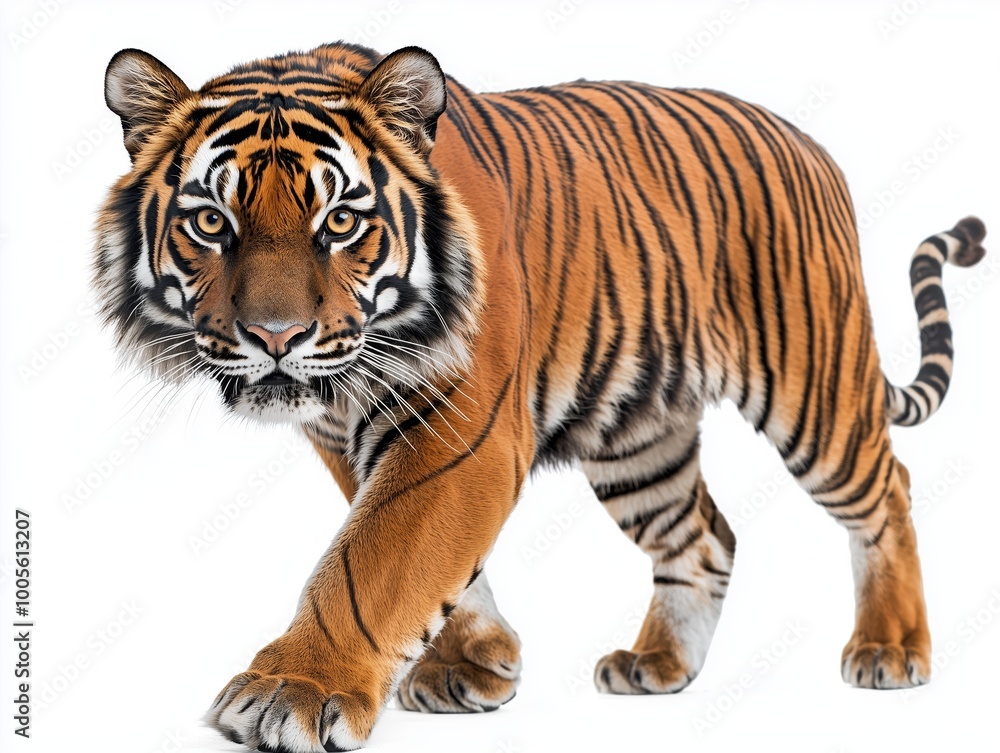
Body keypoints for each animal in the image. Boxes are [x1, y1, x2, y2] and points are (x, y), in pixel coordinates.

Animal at [93, 42, 986, 752]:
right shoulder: (349, 436)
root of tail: (809, 142)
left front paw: (294, 690)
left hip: (813, 389)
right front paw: (476, 659)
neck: (344, 387)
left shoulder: (462, 427)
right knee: (705, 536)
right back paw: (659, 663)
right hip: (638, 437)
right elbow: (420, 553)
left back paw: (892, 648)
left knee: (888, 489)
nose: (274, 336)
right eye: (211, 223)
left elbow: (371, 557)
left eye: (340, 221)